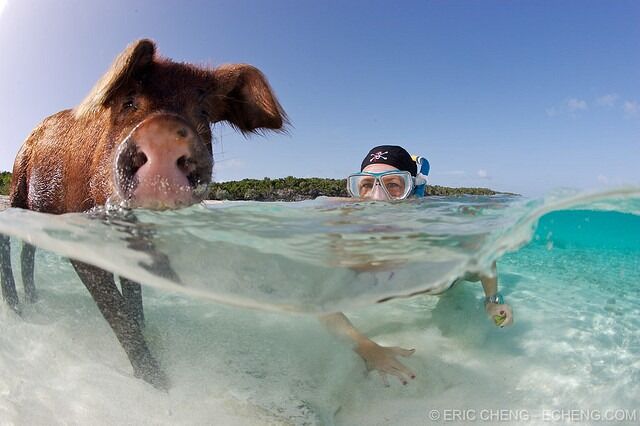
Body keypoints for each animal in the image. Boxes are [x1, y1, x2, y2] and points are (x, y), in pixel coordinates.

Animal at [0, 38, 286, 388]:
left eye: (203, 111)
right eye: (129, 102)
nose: (165, 130)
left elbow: (133, 297)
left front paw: (153, 340)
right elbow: (116, 309)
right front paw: (159, 383)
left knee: (28, 249)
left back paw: (34, 301)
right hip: (18, 181)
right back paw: (18, 311)